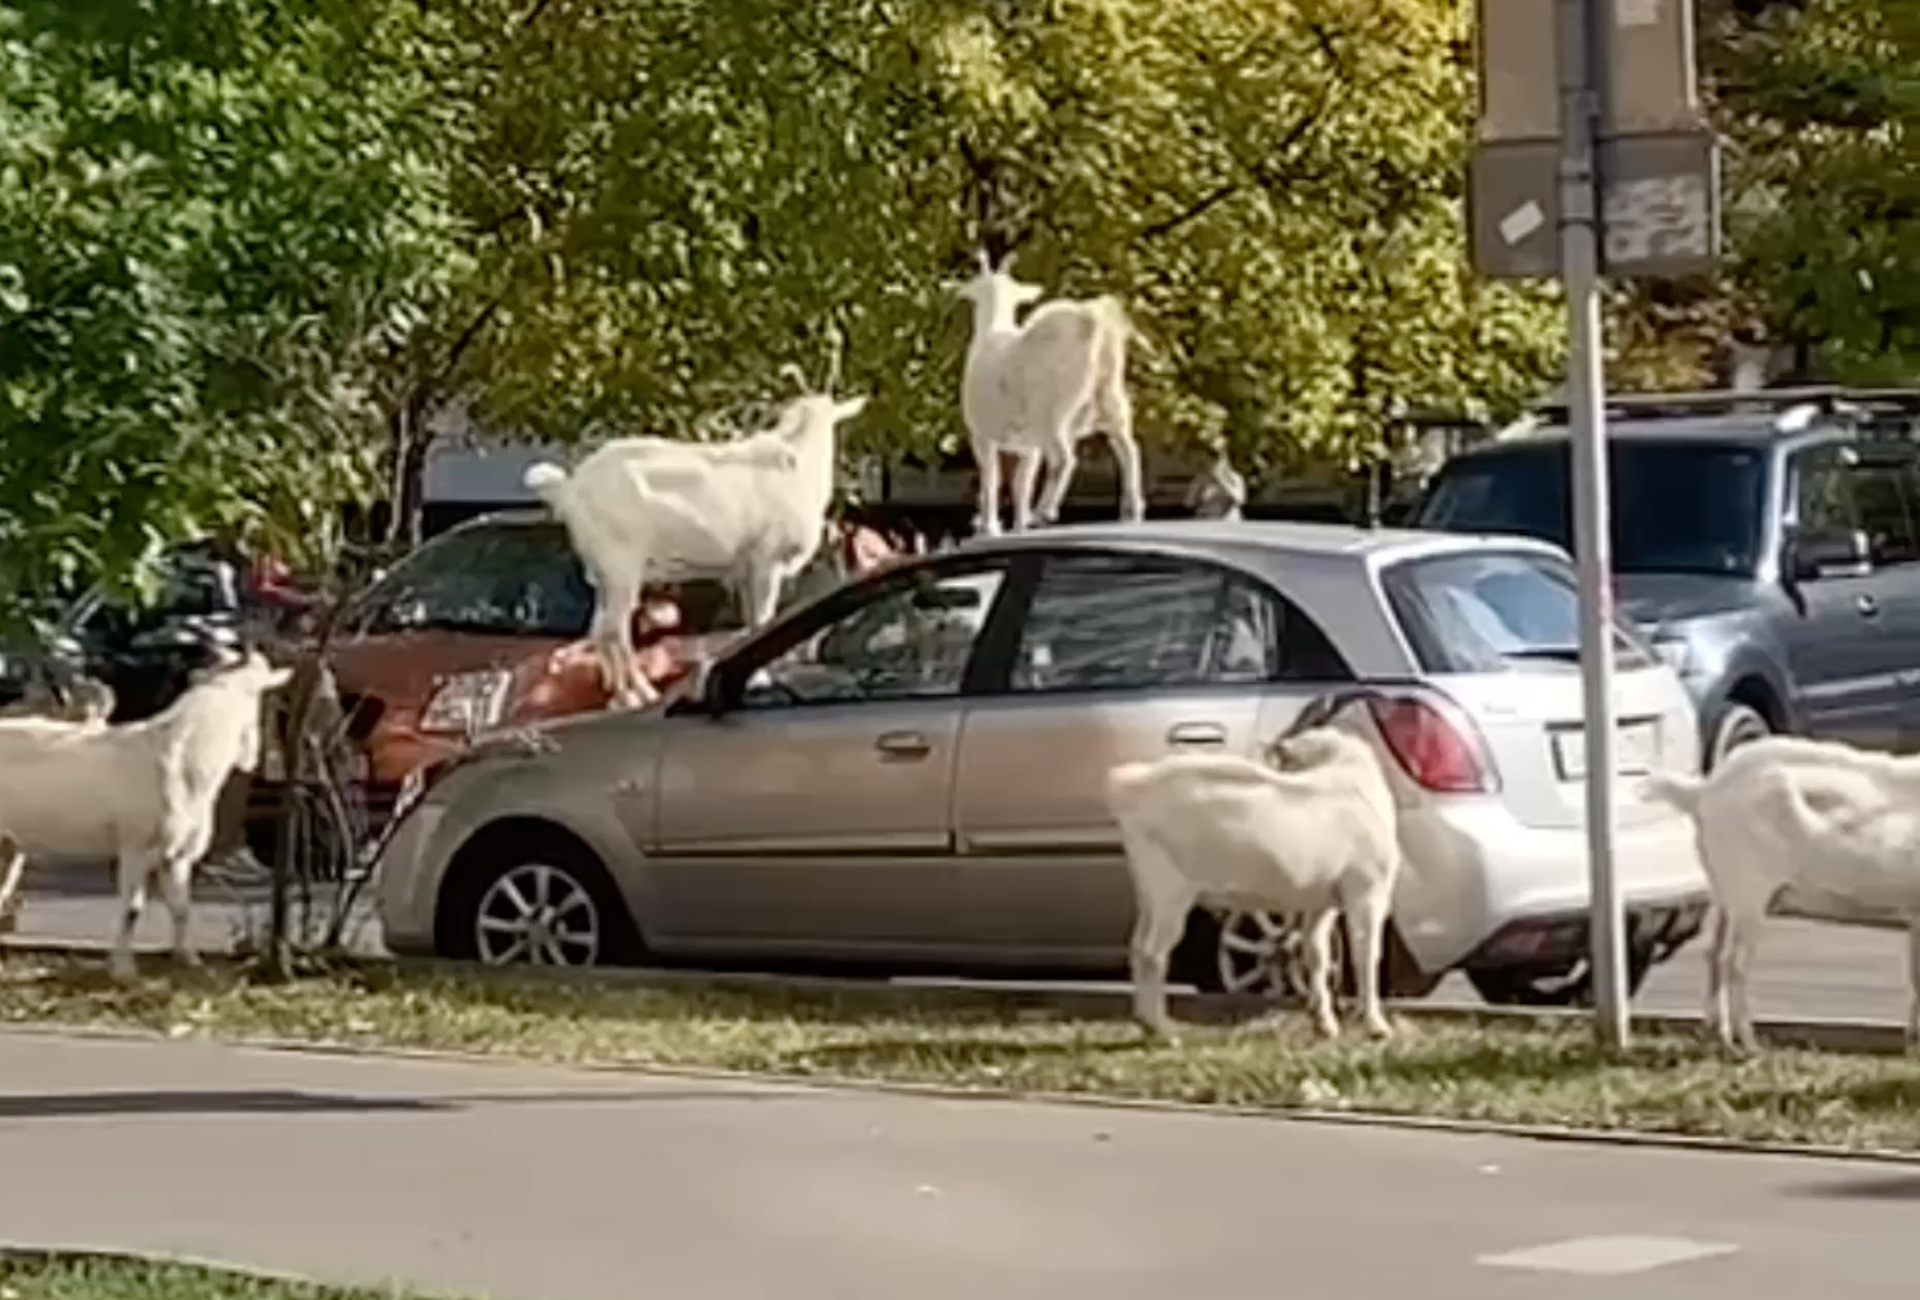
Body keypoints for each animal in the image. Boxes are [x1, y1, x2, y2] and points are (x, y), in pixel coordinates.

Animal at [518, 330, 864, 706]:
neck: (797, 464)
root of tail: (569, 488)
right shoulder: (765, 560)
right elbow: (762, 621)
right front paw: (760, 680)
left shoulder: (742, 568)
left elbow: (749, 624)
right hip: (621, 562)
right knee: (614, 629)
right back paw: (640, 694)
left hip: (601, 571)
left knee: (599, 630)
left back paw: (623, 694)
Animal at [948, 247, 1136, 533]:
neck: (992, 334)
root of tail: (1091, 323)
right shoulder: (1030, 446)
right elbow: (1021, 485)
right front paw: (1018, 526)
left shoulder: (981, 434)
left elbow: (992, 479)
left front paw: (991, 527)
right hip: (1112, 401)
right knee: (1128, 450)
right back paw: (1132, 511)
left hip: (1053, 411)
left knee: (1064, 458)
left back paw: (1044, 512)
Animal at [1105, 695, 1405, 1036]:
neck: (1346, 775)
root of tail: (1127, 785)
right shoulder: (1367, 892)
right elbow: (1366, 953)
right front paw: (1377, 1026)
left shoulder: (1320, 902)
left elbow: (1316, 954)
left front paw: (1325, 1023)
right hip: (1171, 890)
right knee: (1152, 951)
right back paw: (1163, 1029)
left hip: (1150, 890)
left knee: (1137, 945)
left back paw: (1146, 1021)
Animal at [1643, 733, 1920, 1052]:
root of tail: (1704, 790)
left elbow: (1915, 978)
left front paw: (1912, 1039)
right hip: (1750, 891)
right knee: (1734, 964)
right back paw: (1747, 1043)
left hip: (1726, 890)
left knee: (1715, 954)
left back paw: (1718, 1034)